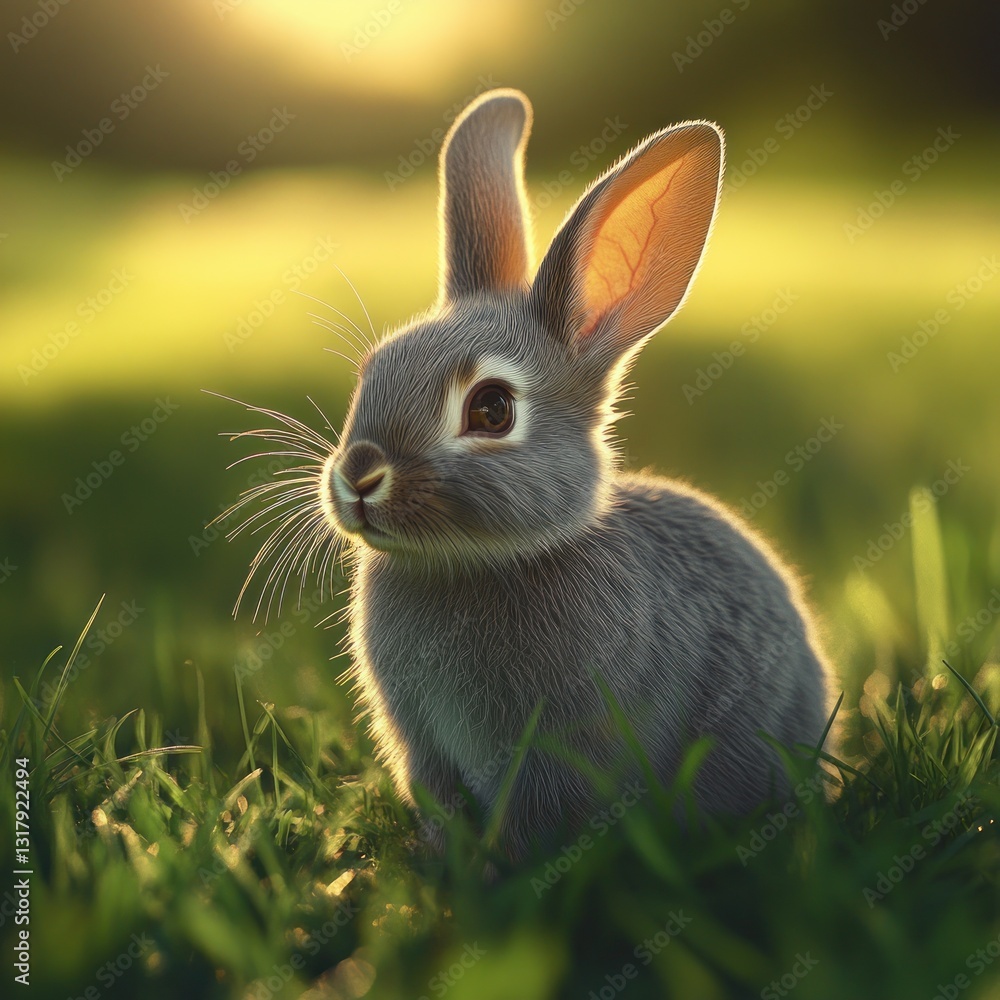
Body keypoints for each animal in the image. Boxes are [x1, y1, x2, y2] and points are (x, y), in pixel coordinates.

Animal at [240, 88, 836, 862]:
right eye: (374, 368)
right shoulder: (426, 751)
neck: (475, 563)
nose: (359, 476)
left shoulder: (553, 754)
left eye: (492, 409)